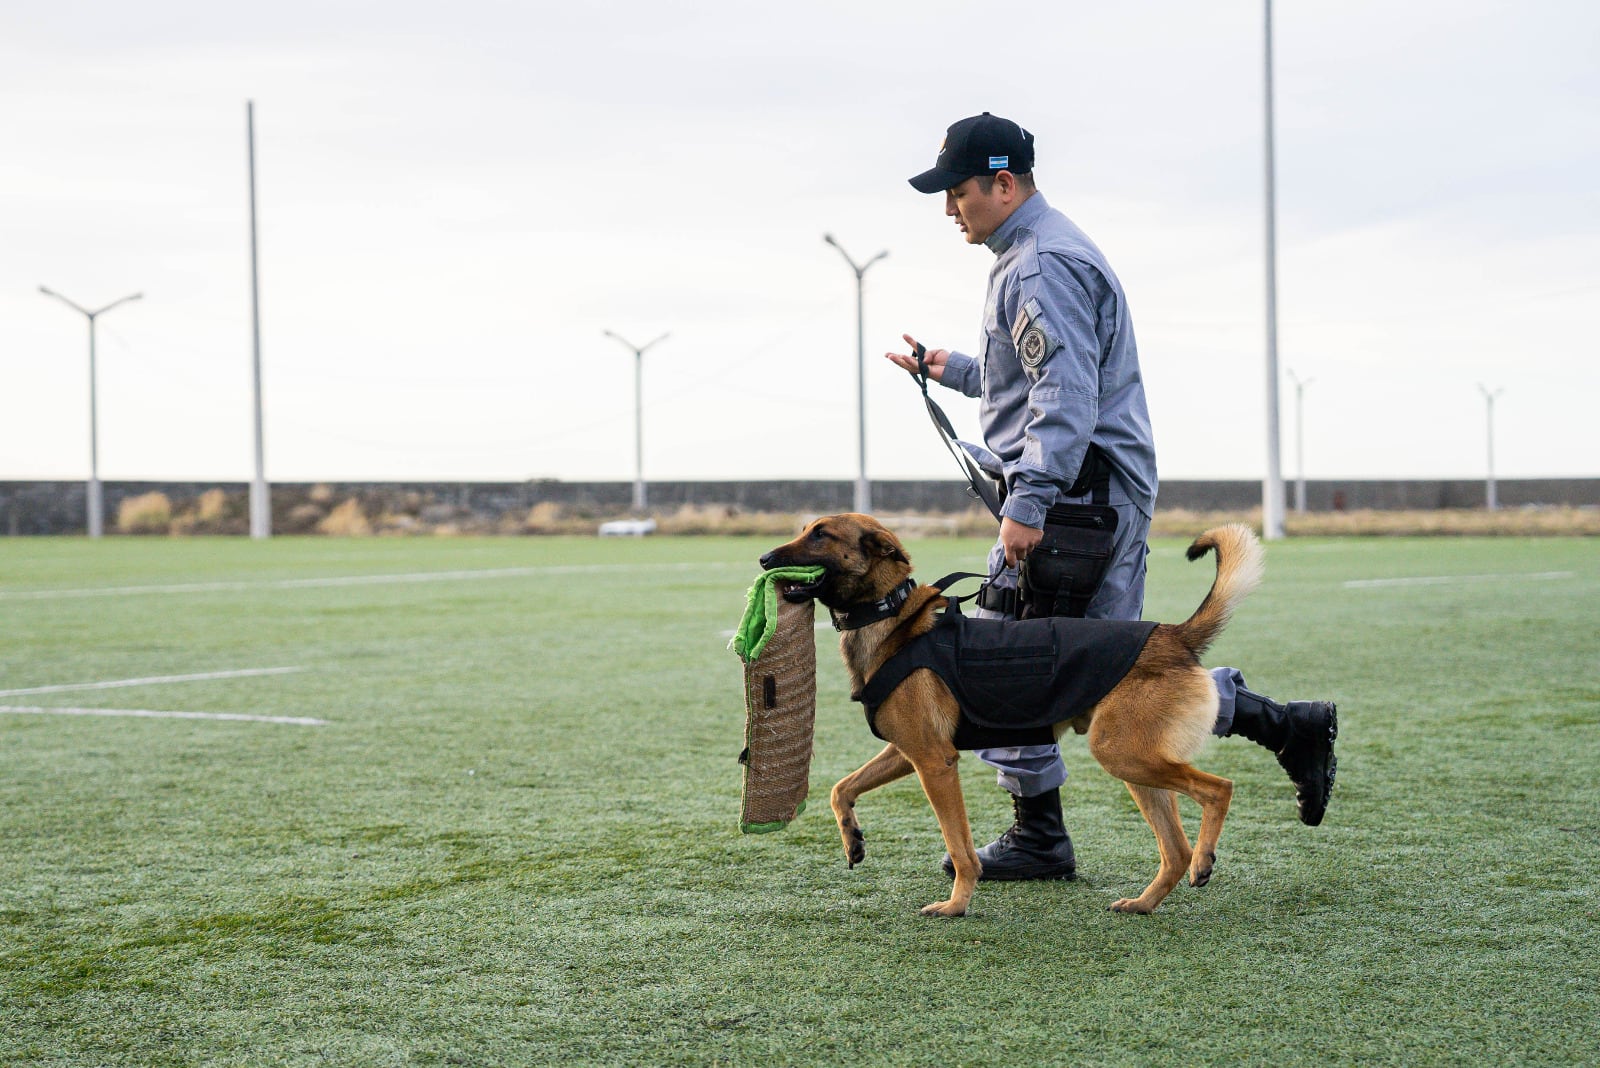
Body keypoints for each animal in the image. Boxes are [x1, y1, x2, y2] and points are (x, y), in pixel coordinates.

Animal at [755, 511, 1267, 914]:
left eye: (821, 535)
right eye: (805, 529)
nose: (762, 559)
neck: (889, 617)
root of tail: (1172, 635)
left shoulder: (934, 763)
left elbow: (959, 845)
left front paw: (956, 905)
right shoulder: (908, 753)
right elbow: (840, 789)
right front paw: (852, 838)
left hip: (1123, 754)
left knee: (1218, 789)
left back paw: (1204, 859)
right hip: (1134, 763)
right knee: (1174, 849)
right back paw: (1144, 902)